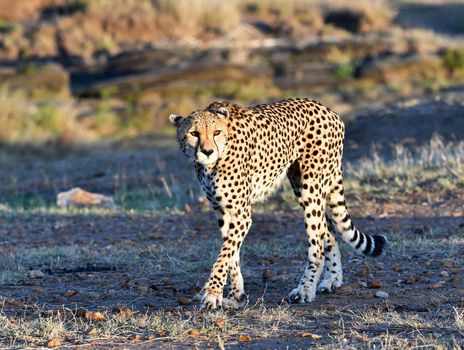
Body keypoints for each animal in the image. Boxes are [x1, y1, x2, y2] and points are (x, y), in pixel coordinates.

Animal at [170, 98, 388, 308]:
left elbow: (225, 253)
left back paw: (305, 290)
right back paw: (331, 280)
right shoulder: (222, 210)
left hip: (311, 189)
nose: (207, 151)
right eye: (194, 133)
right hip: (302, 186)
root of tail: (329, 110)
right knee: (329, 233)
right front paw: (235, 296)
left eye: (216, 132)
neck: (213, 163)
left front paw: (212, 292)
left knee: (316, 247)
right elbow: (231, 254)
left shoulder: (242, 214)